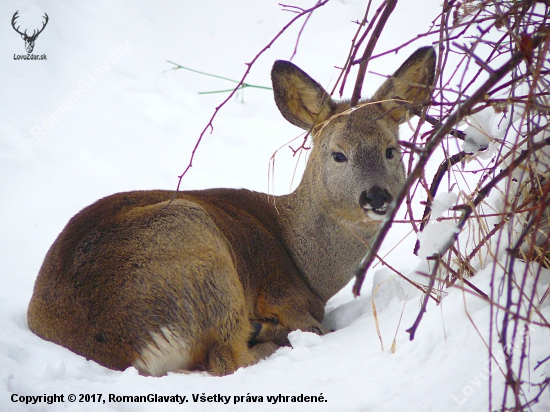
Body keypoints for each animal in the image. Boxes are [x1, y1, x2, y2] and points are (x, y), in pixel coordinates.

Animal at [29, 46, 436, 374]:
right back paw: (266, 335)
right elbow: (310, 324)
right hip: (199, 246)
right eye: (339, 154)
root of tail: (131, 347)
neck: (306, 266)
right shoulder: (281, 291)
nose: (376, 197)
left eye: (391, 150)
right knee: (228, 358)